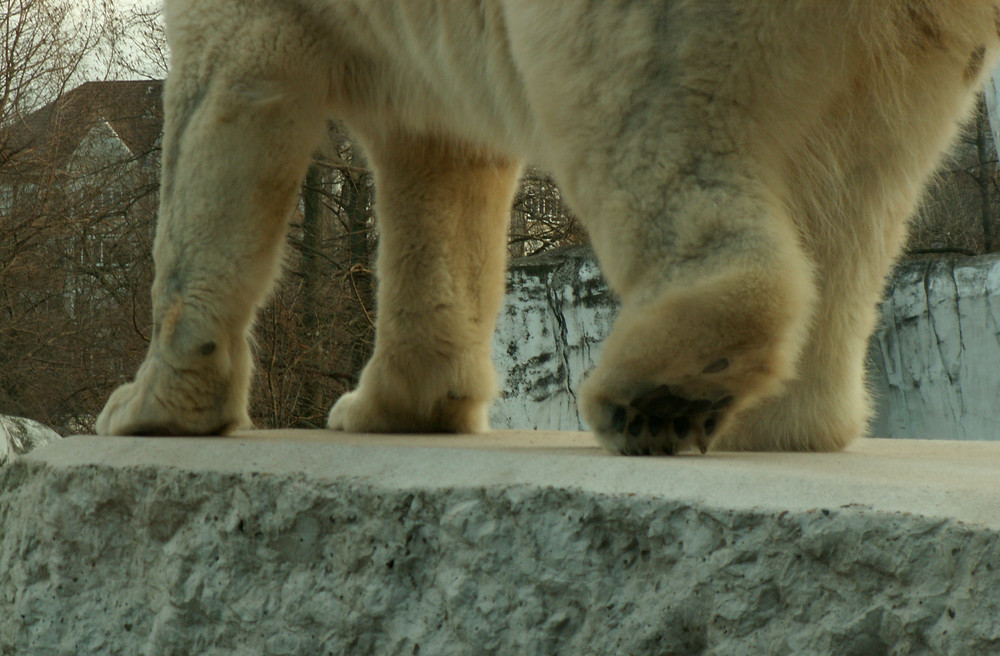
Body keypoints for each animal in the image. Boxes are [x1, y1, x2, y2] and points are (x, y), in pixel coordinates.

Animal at [97, 0, 1000, 454]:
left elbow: (228, 95)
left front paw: (144, 404)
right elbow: (439, 161)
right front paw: (390, 404)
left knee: (632, 99)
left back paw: (664, 389)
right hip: (916, 42)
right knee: (860, 187)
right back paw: (781, 422)